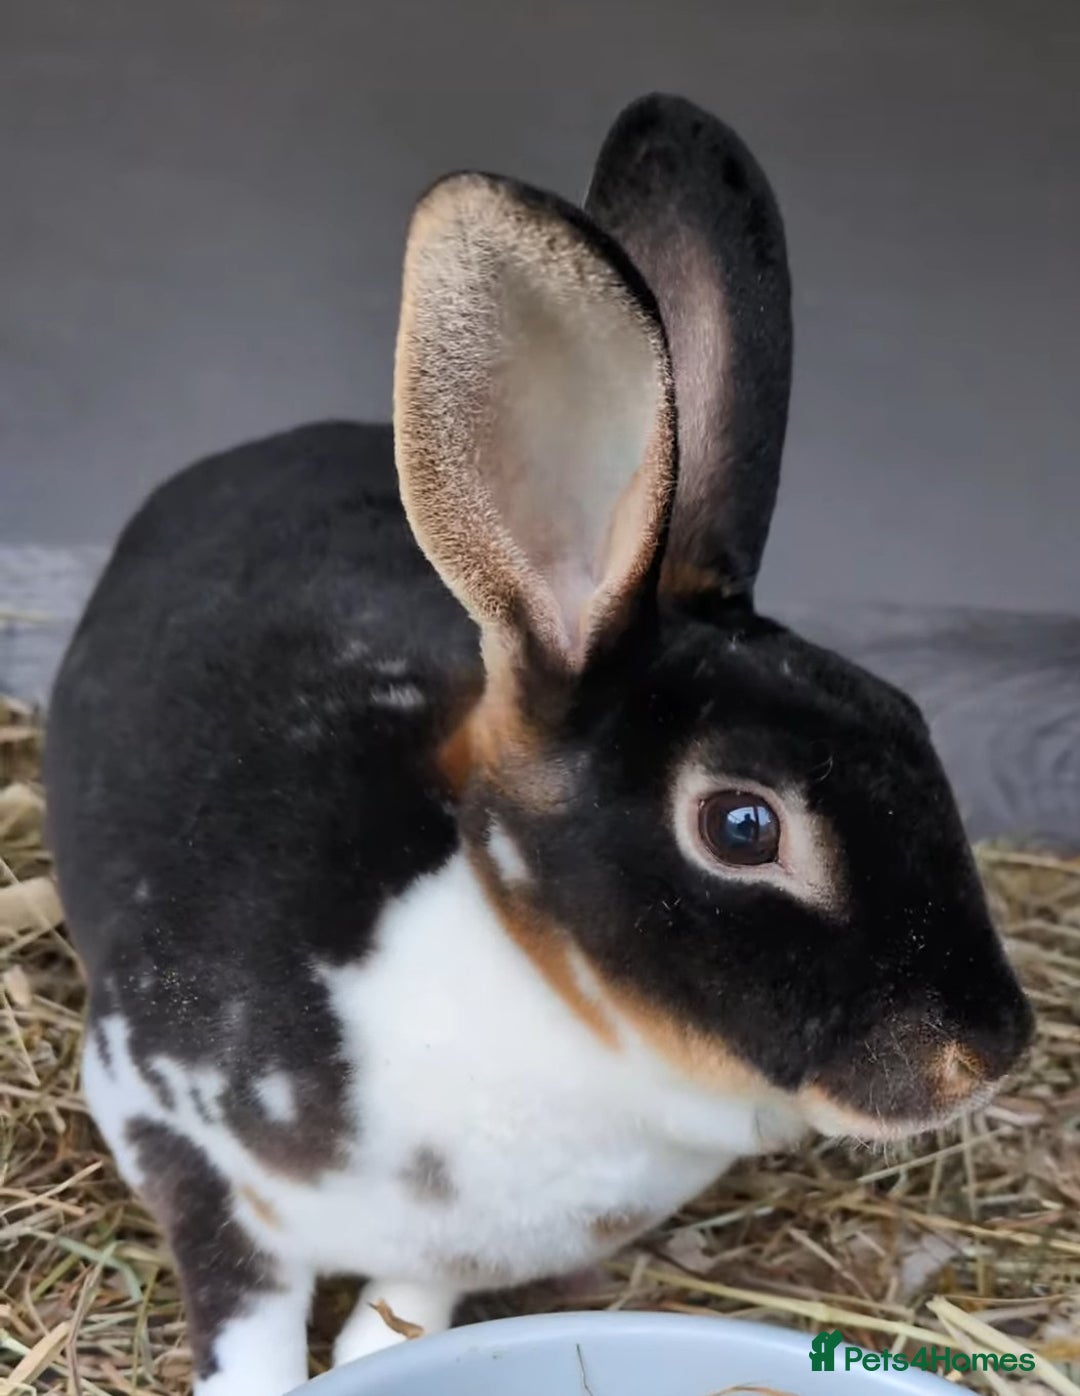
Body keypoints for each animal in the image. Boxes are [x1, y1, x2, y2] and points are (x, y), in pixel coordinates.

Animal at [45, 93, 1033, 1396]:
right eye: (743, 823)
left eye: (912, 721)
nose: (993, 1048)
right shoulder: (176, 1135)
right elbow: (248, 1325)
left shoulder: (443, 1255)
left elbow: (406, 1309)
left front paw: (379, 1346)